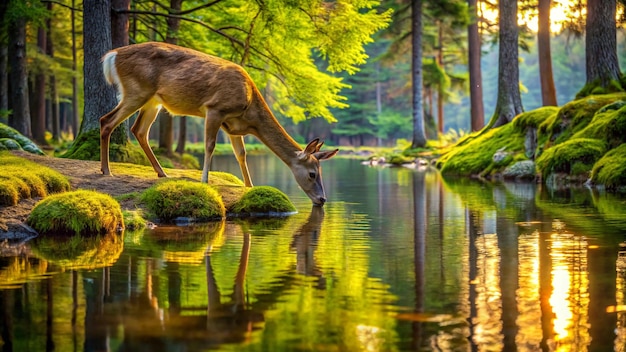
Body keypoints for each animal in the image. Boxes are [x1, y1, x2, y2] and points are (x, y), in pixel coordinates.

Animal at [98, 41, 336, 206]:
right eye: (312, 173)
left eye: (321, 171)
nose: (322, 200)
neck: (250, 112)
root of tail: (112, 56)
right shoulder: (215, 109)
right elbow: (210, 145)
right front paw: (204, 180)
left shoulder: (232, 126)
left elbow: (241, 154)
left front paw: (250, 185)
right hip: (137, 90)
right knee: (106, 121)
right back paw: (107, 170)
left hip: (153, 101)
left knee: (139, 130)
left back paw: (162, 173)